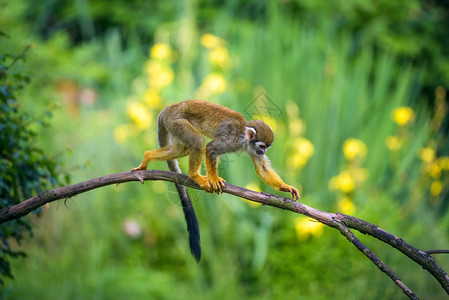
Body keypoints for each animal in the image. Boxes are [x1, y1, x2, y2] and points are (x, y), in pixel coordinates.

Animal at [131, 99, 300, 262]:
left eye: (266, 148)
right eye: (262, 146)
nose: (263, 152)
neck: (245, 137)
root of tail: (168, 109)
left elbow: (262, 169)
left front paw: (286, 187)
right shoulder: (233, 140)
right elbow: (211, 148)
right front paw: (214, 179)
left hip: (173, 126)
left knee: (181, 149)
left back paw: (148, 156)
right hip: (176, 122)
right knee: (198, 142)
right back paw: (194, 175)